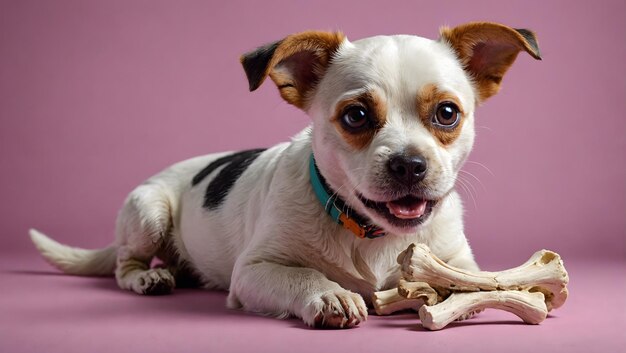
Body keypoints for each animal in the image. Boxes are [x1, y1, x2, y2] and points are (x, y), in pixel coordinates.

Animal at [29, 22, 540, 328]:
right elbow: (303, 276)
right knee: (123, 265)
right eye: (356, 116)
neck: (371, 235)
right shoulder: (254, 272)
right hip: (148, 211)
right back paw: (148, 278)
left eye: (447, 113)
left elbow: (466, 278)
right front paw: (329, 295)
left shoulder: (457, 258)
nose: (409, 164)